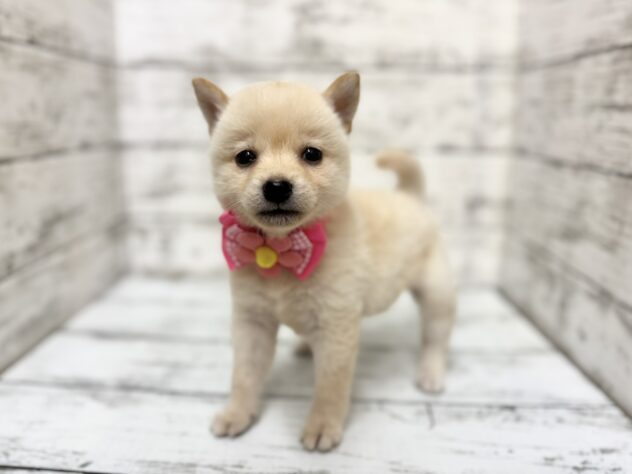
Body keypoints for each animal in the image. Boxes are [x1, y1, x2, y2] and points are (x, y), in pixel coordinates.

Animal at [192, 72, 456, 452]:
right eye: (245, 157)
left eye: (311, 154)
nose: (276, 186)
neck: (279, 248)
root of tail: (410, 196)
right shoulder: (252, 322)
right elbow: (244, 375)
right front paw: (237, 413)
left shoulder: (336, 327)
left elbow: (330, 386)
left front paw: (322, 426)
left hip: (436, 291)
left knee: (436, 335)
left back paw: (431, 374)